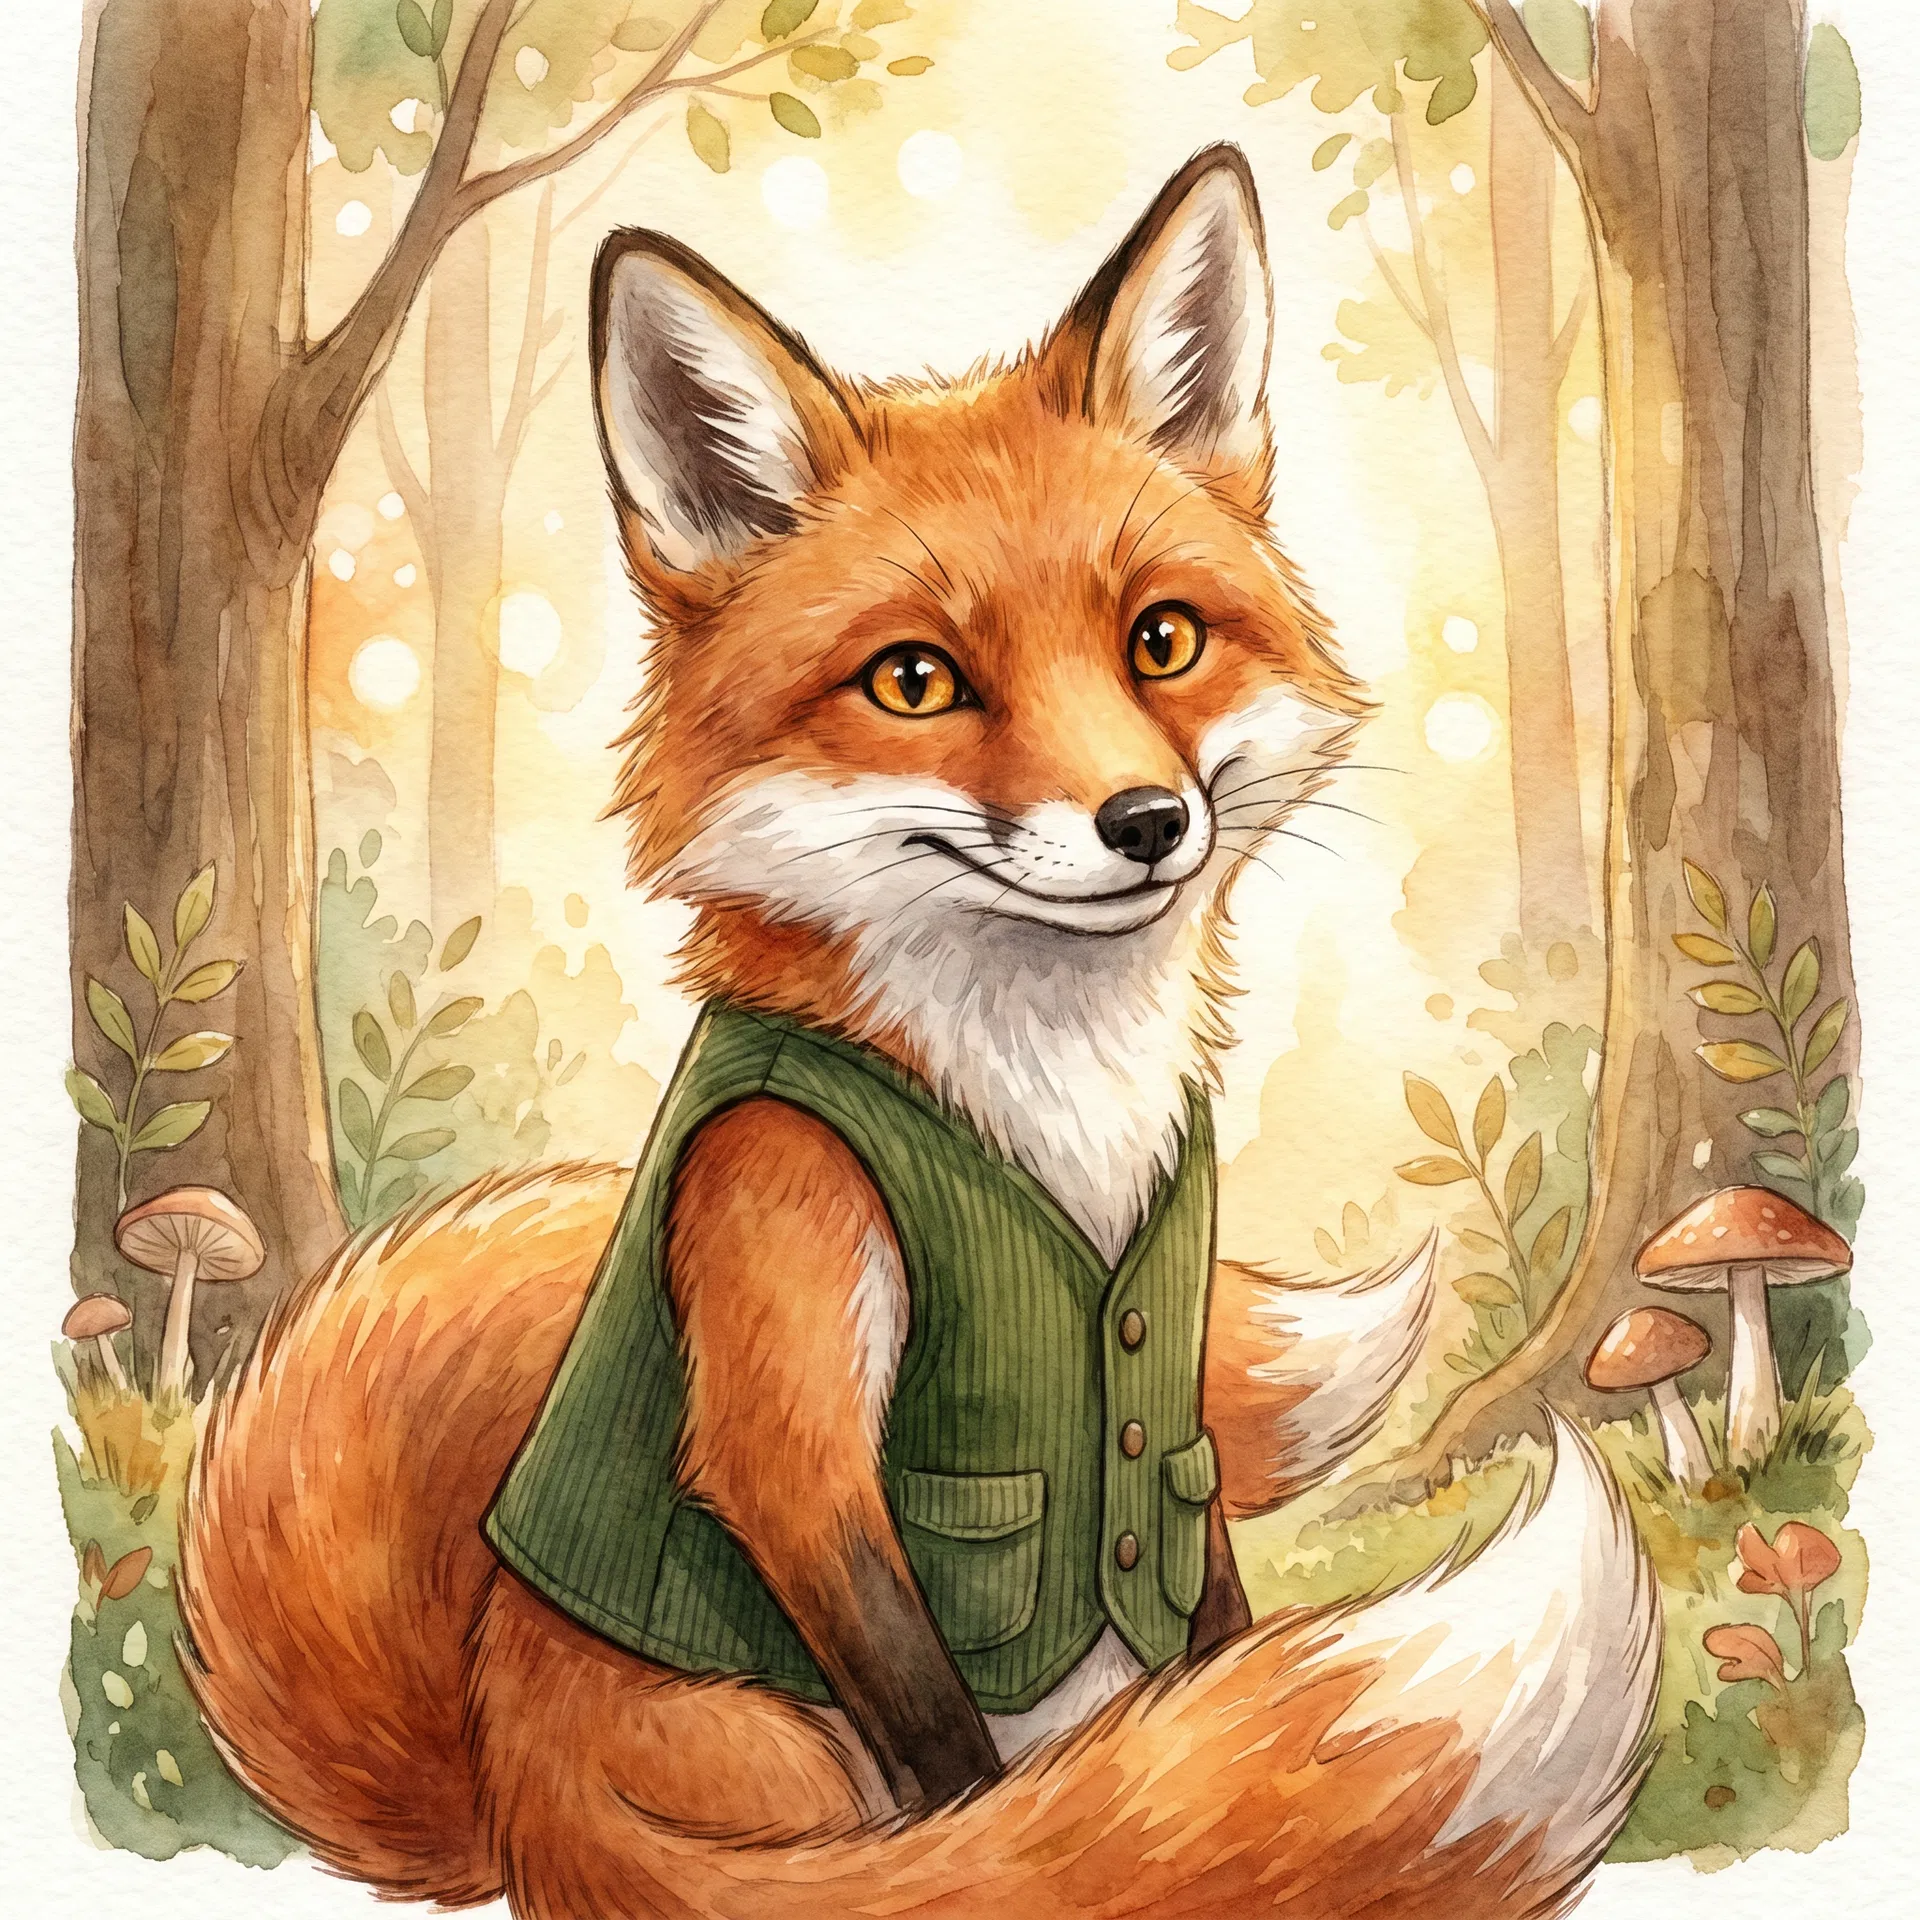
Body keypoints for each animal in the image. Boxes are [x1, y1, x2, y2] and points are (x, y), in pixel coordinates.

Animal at [179, 147, 1659, 1919]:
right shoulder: (785, 1336)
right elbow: (953, 1755)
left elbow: (1199, 1599)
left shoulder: (1171, 1428)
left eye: (1162, 640)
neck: (1051, 1106)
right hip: (757, 1736)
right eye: (915, 681)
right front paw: (1021, 1838)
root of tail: (508, 1788)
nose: (1147, 823)